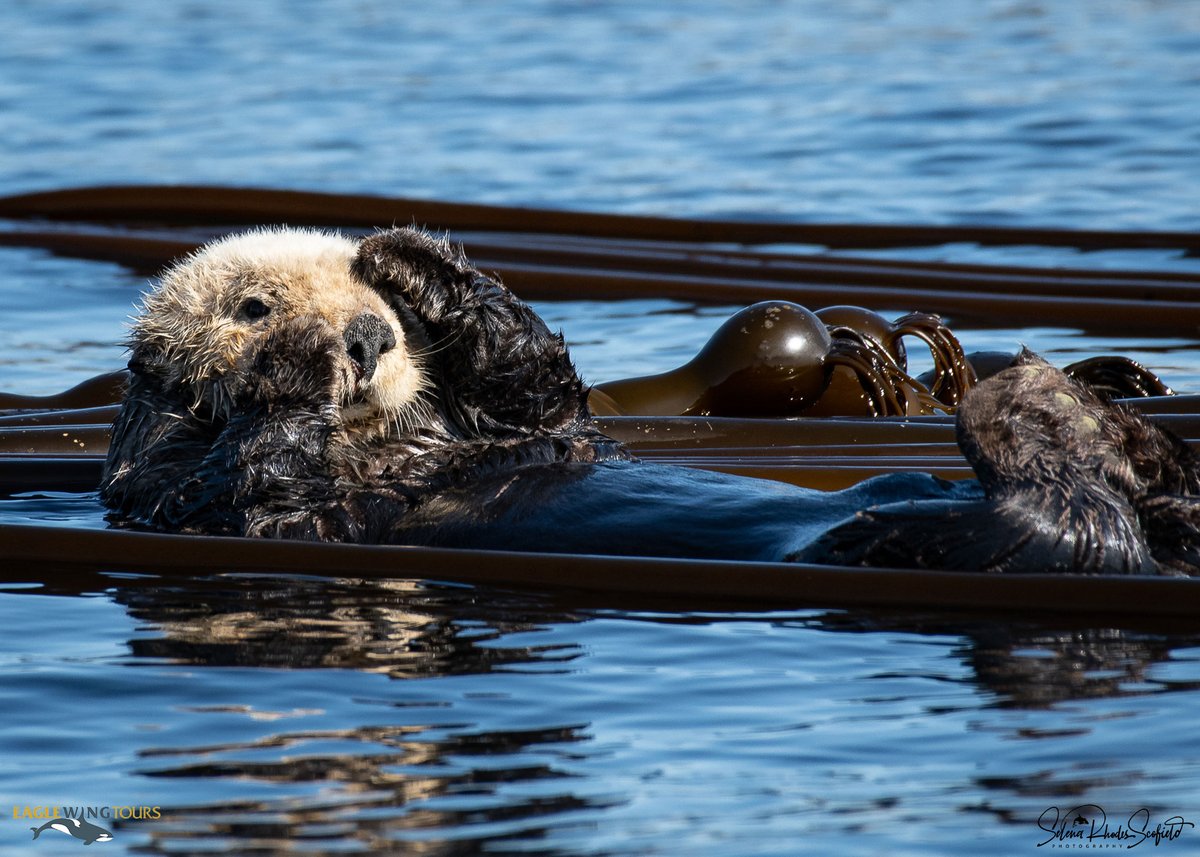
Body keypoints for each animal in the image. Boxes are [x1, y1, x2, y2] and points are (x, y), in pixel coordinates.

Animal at [100, 227, 1200, 575]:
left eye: (395, 321)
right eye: (250, 303)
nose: (367, 333)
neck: (393, 446)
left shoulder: (530, 421)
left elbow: (538, 382)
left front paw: (410, 258)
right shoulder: (182, 494)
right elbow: (251, 474)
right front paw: (294, 357)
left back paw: (1126, 420)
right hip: (936, 538)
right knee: (1061, 509)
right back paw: (1035, 405)